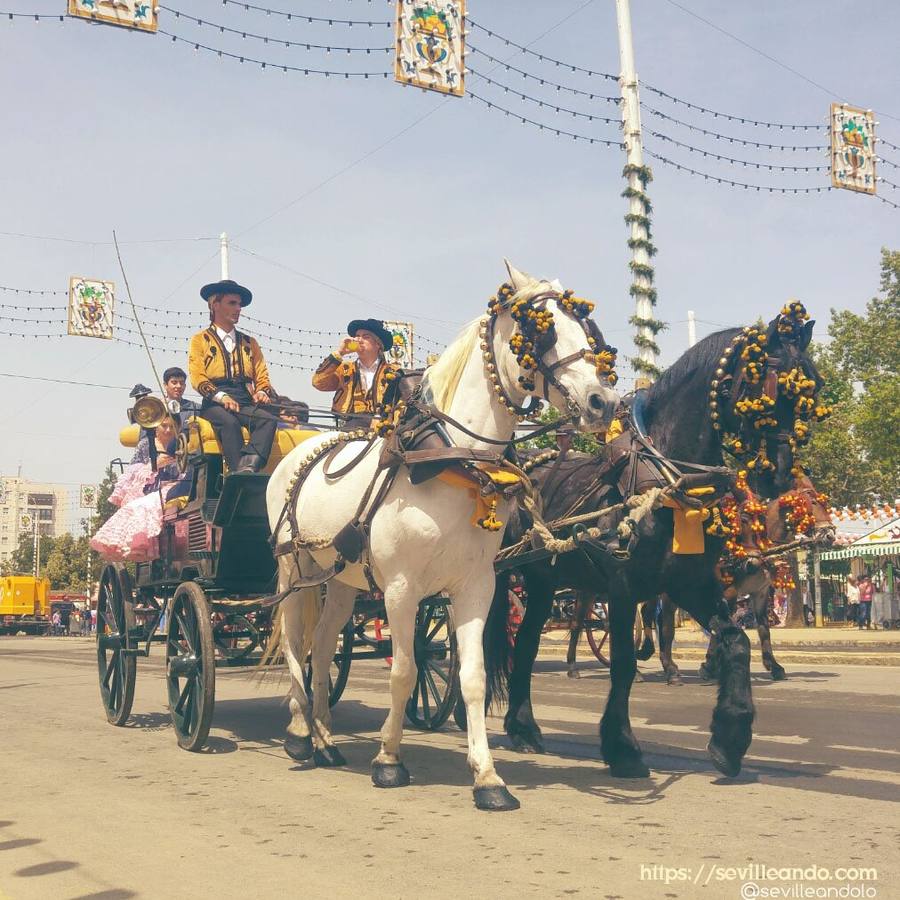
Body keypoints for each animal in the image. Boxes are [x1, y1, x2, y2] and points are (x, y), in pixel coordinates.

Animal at [264, 264, 624, 812]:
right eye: (540, 329)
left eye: (588, 329)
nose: (603, 401)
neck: (453, 462)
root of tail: (301, 450)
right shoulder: (401, 589)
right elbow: (403, 672)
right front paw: (389, 759)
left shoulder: (476, 586)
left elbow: (473, 679)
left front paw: (488, 778)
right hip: (294, 571)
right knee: (294, 642)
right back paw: (302, 733)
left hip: (343, 580)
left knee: (323, 647)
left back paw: (325, 736)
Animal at [486, 312, 824, 776]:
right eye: (770, 385)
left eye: (810, 392)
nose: (778, 473)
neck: (665, 485)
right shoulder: (624, 588)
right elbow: (625, 664)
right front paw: (622, 748)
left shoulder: (692, 585)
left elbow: (738, 641)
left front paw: (730, 737)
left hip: (542, 582)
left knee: (526, 645)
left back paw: (523, 729)